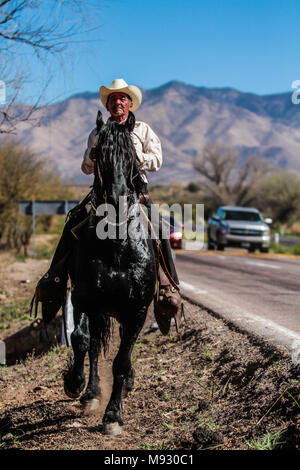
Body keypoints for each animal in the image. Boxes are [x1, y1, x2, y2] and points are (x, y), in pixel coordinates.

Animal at [62, 112, 158, 436]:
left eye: (131, 155)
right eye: (98, 153)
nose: (116, 204)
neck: (116, 244)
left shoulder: (137, 311)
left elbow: (121, 362)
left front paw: (113, 415)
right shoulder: (83, 299)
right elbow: (80, 339)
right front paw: (75, 384)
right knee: (92, 345)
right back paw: (91, 392)